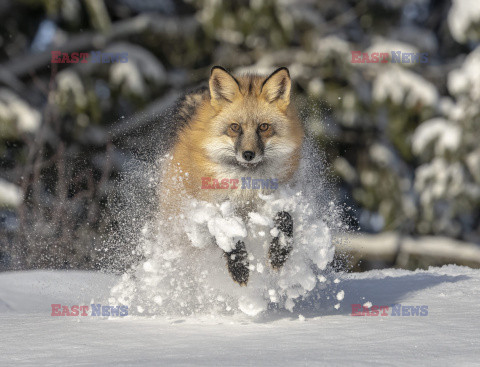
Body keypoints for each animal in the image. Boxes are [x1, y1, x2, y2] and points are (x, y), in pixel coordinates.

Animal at [160, 67, 304, 288]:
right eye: (235, 127)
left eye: (264, 127)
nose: (248, 154)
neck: (246, 188)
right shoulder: (210, 208)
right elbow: (229, 235)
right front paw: (239, 268)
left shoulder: (272, 200)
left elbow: (286, 218)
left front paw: (279, 253)